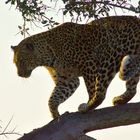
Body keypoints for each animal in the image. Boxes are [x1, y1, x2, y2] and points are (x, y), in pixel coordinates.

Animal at [11, 15, 139, 118]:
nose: (19, 74)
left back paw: (88, 106)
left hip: (108, 60)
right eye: (15, 63)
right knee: (132, 89)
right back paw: (121, 99)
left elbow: (91, 89)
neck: (48, 55)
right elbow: (54, 97)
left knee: (100, 94)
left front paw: (88, 102)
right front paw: (54, 113)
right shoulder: (67, 79)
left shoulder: (89, 65)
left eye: (21, 61)